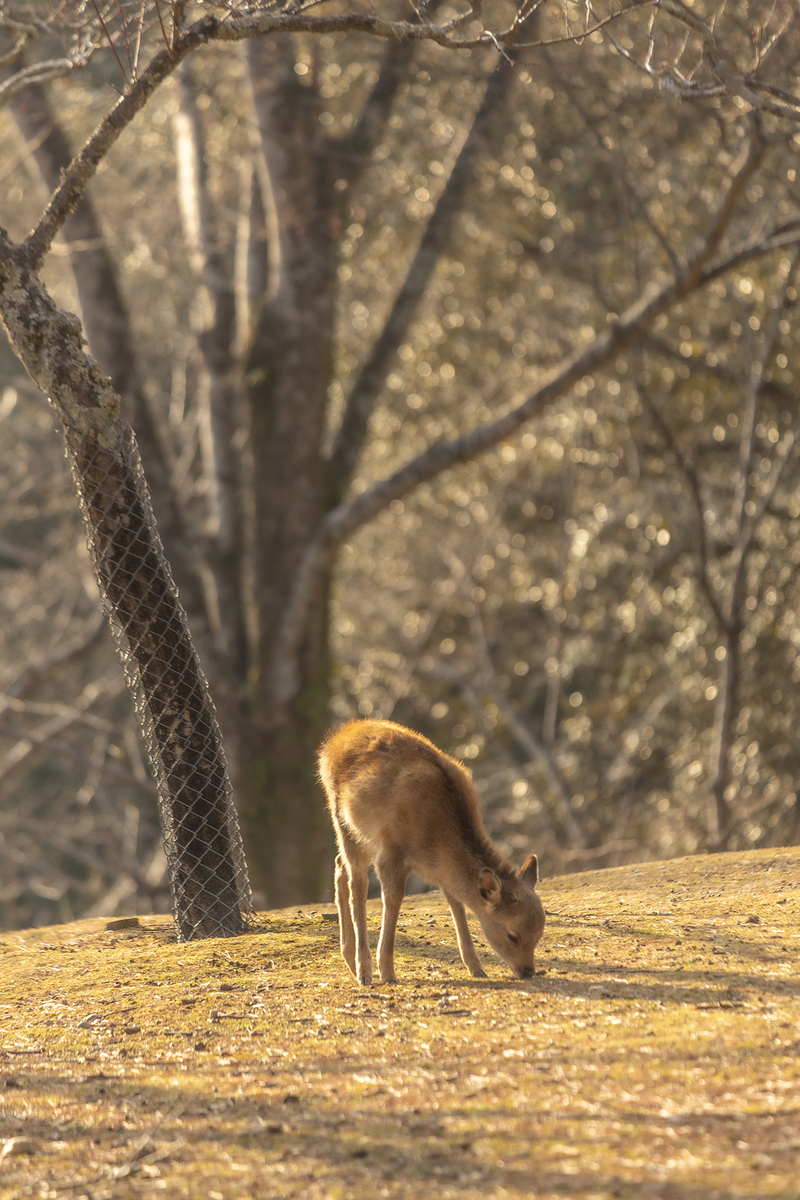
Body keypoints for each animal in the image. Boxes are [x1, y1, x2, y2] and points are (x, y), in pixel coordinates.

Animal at [316, 720, 544, 984]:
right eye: (512, 935)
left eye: (540, 932)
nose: (528, 971)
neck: (434, 840)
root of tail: (334, 739)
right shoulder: (391, 854)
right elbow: (393, 900)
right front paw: (387, 972)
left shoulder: (440, 870)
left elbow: (456, 902)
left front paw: (476, 967)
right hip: (343, 822)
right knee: (356, 884)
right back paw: (363, 971)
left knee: (339, 865)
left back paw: (351, 962)